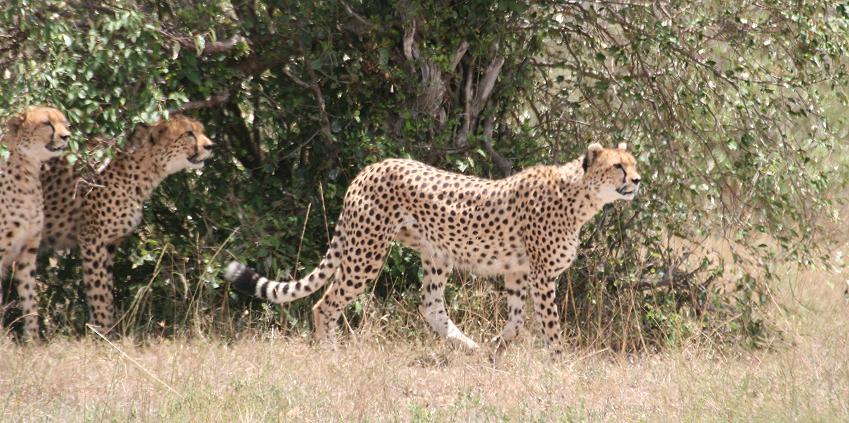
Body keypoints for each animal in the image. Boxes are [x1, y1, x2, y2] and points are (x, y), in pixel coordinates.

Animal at [0, 107, 71, 342]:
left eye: (65, 123)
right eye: (46, 123)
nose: (67, 137)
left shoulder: (27, 251)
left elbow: (30, 297)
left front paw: (33, 341)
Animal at [40, 115, 215, 334]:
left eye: (201, 130)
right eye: (189, 133)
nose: (211, 146)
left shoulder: (109, 243)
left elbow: (106, 289)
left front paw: (108, 328)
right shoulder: (93, 239)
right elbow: (98, 290)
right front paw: (104, 332)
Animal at [224, 144, 636, 356]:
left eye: (633, 164)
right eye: (618, 166)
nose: (638, 180)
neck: (581, 195)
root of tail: (371, 167)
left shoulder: (518, 273)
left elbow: (517, 321)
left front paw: (497, 346)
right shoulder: (540, 275)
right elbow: (550, 325)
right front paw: (561, 363)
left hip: (435, 254)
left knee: (430, 306)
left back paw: (470, 346)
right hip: (367, 251)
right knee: (325, 304)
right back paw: (332, 355)